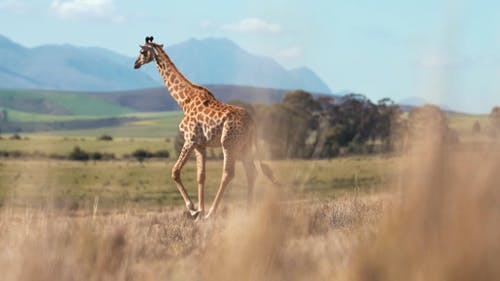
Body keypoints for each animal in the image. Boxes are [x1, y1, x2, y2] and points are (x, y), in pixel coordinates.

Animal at [135, 35, 280, 219]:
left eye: (141, 51)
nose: (135, 64)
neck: (184, 101)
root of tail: (252, 122)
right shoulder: (200, 145)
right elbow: (200, 176)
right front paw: (200, 212)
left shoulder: (190, 140)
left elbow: (175, 171)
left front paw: (193, 209)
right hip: (244, 146)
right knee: (251, 172)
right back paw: (247, 211)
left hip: (229, 144)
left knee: (229, 173)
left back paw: (213, 212)